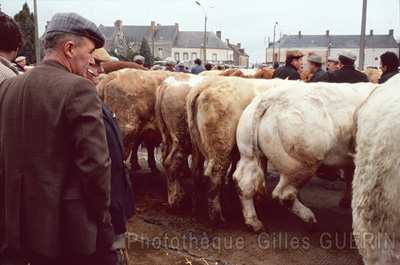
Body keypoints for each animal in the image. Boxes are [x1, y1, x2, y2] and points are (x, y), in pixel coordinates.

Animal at [233, 81, 376, 232]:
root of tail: (272, 97)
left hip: (249, 155)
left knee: (244, 184)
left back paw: (254, 222)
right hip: (300, 165)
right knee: (284, 194)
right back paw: (310, 219)